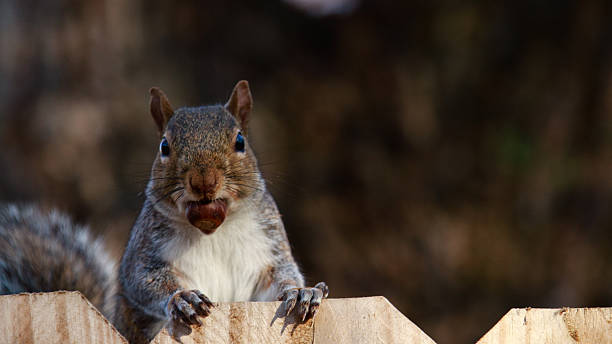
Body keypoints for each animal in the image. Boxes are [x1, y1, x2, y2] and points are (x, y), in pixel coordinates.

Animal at [0, 81, 330, 344]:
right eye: (164, 146)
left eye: (240, 141)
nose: (203, 181)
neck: (213, 231)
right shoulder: (145, 250)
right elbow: (144, 280)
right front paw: (182, 299)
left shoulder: (268, 244)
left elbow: (280, 276)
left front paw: (301, 292)